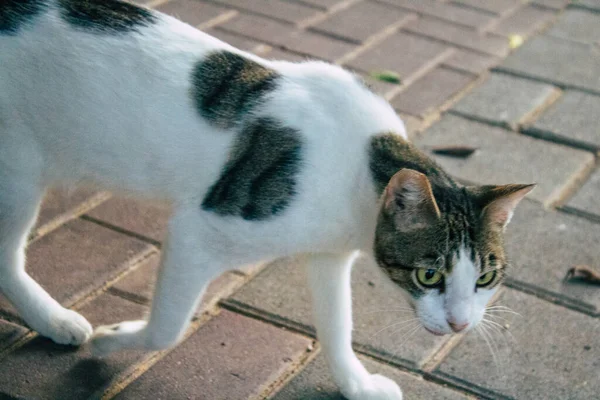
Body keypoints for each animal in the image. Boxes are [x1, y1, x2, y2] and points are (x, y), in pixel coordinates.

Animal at [0, 1, 536, 398]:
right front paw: (115, 342)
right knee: (6, 257)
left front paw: (356, 385)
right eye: (429, 275)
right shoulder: (200, 229)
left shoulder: (328, 255)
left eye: (485, 278)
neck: (360, 168)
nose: (460, 324)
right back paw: (53, 318)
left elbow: (337, 326)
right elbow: (168, 327)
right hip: (18, 171)